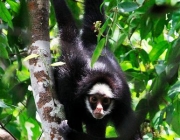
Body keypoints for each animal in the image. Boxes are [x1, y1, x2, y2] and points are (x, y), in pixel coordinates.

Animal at [51, 0, 142, 139]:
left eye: (105, 101)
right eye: (94, 99)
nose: (99, 109)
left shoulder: (123, 101)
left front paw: (71, 133)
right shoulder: (73, 79)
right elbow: (68, 32)